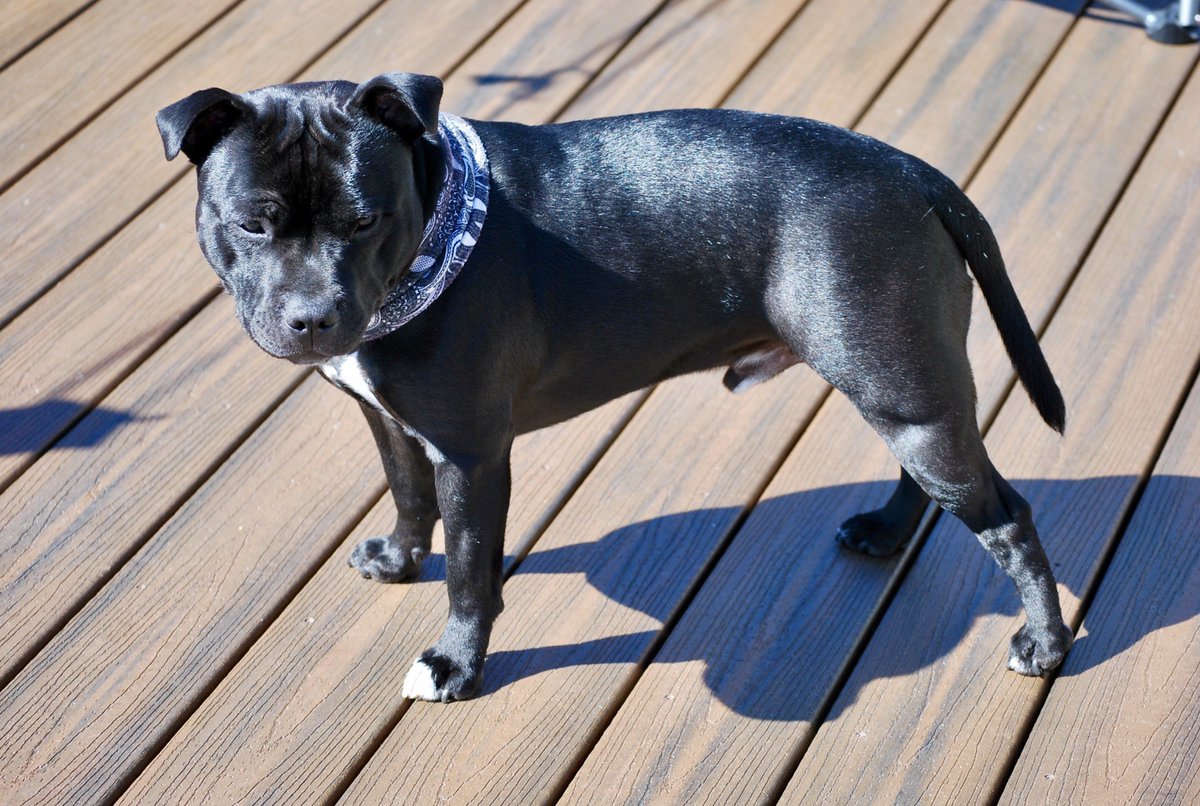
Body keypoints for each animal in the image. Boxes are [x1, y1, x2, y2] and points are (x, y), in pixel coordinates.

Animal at [156, 72, 1074, 702]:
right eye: (252, 223)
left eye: (363, 220)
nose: (314, 318)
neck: (438, 224)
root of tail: (914, 172)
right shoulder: (392, 422)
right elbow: (409, 497)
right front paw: (398, 556)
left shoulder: (472, 455)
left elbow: (469, 571)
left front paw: (455, 663)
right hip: (899, 390)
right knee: (929, 480)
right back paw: (886, 531)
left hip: (904, 395)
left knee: (1009, 518)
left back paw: (1046, 643)